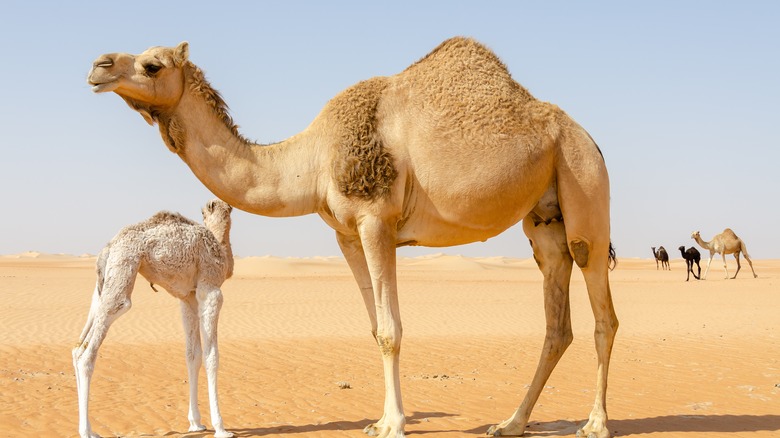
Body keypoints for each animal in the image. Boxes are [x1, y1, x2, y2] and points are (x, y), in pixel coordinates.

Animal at [72, 199, 235, 438]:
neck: (219, 246)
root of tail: (109, 247)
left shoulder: (188, 298)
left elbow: (192, 355)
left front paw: (196, 423)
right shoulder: (210, 289)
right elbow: (211, 356)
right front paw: (221, 428)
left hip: (104, 283)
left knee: (78, 346)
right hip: (124, 268)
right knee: (88, 351)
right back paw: (86, 431)